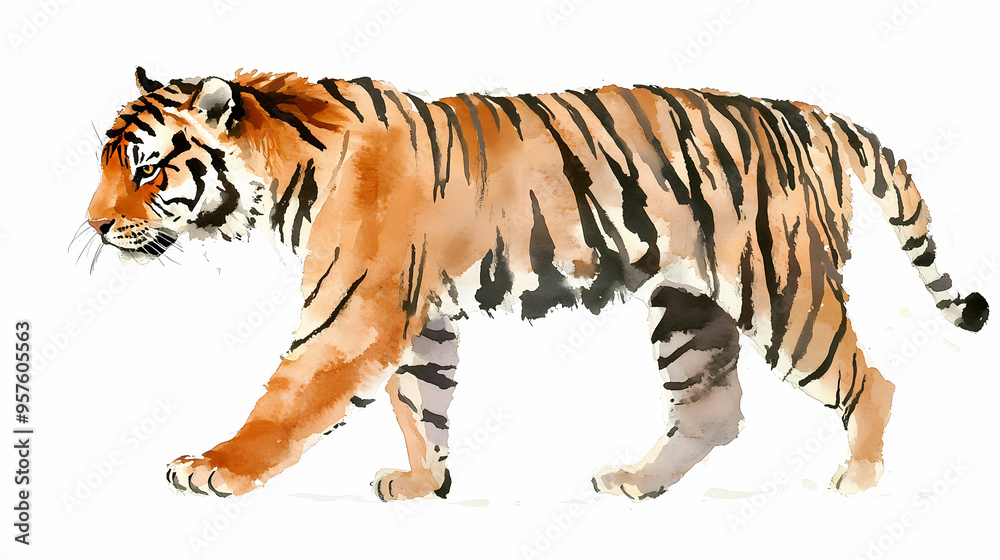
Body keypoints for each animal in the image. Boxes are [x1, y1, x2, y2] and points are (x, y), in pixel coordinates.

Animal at [81, 67, 989, 501]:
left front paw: (214, 469)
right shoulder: (419, 313)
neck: (284, 170)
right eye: (108, 162)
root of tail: (808, 113)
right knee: (713, 409)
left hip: (783, 290)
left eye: (147, 166)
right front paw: (424, 484)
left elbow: (288, 399)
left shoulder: (353, 311)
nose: (91, 226)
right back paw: (637, 484)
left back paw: (858, 483)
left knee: (869, 380)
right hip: (687, 309)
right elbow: (422, 404)